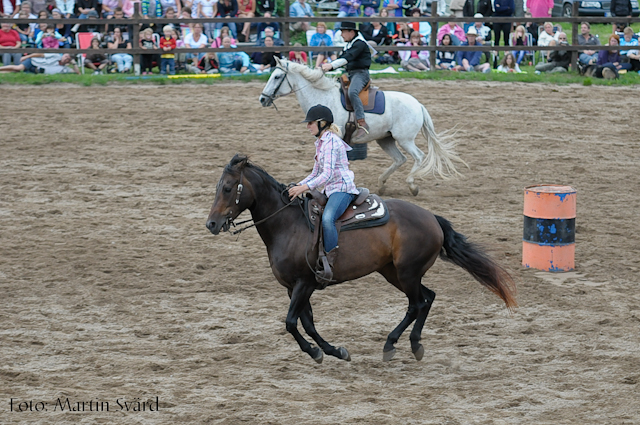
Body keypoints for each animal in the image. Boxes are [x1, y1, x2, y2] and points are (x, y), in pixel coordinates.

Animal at [208, 154, 516, 362]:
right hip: (393, 272)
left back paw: (393, 345)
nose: (211, 224)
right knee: (428, 298)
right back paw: (413, 344)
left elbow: (291, 323)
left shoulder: (304, 283)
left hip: (407, 272)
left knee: (417, 303)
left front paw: (317, 352)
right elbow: (307, 323)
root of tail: (432, 218)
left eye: (228, 188)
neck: (288, 225)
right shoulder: (293, 288)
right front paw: (333, 351)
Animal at [258, 58, 468, 196]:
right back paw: (382, 184)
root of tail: (418, 104)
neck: (324, 98)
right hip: (385, 140)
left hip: (405, 139)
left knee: (418, 156)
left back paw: (412, 185)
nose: (262, 99)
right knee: (399, 159)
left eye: (277, 76)